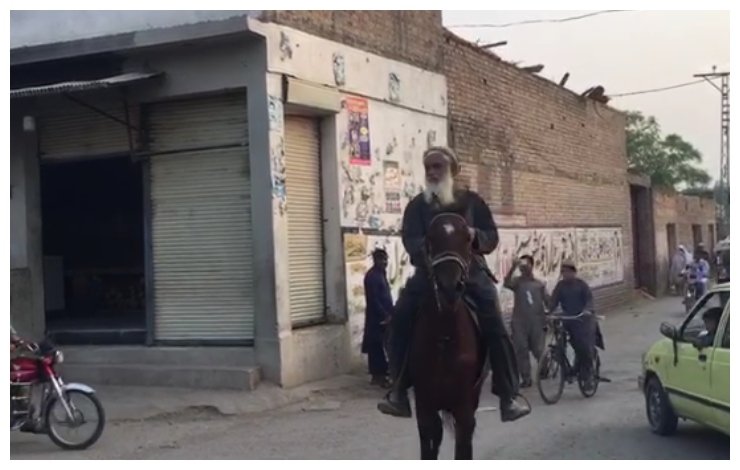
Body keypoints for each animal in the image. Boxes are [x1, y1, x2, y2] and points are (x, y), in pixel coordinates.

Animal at [410, 212, 486, 458]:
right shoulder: (424, 403)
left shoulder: (464, 404)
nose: (450, 288)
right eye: (431, 239)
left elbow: (463, 446)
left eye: (467, 240)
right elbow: (429, 443)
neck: (445, 336)